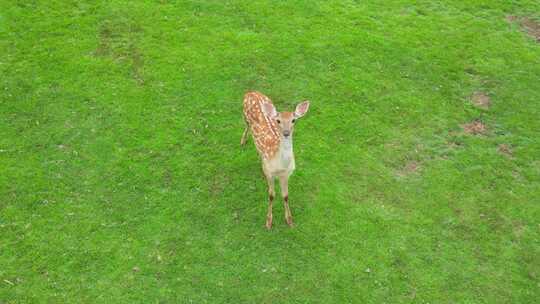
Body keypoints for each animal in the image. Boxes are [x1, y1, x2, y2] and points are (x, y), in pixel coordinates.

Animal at [239, 91, 308, 229]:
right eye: (278, 121)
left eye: (293, 120)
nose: (286, 132)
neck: (280, 164)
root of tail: (250, 92)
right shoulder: (271, 174)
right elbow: (271, 195)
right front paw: (268, 221)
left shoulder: (287, 174)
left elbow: (285, 196)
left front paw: (289, 220)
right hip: (245, 116)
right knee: (246, 126)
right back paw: (242, 141)